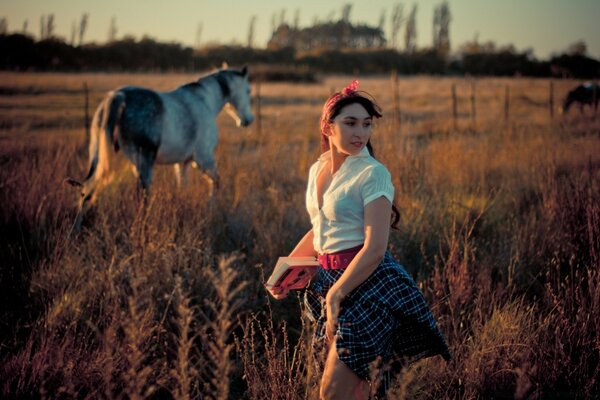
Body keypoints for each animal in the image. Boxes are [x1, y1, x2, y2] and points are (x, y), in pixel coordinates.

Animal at [67, 65, 253, 228]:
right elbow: (216, 182)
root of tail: (118, 96)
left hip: (104, 161)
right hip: (144, 163)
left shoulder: (182, 163)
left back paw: (75, 230)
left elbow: (182, 186)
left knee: (87, 191)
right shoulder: (204, 159)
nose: (248, 120)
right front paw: (211, 209)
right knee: (142, 195)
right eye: (248, 90)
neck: (205, 101)